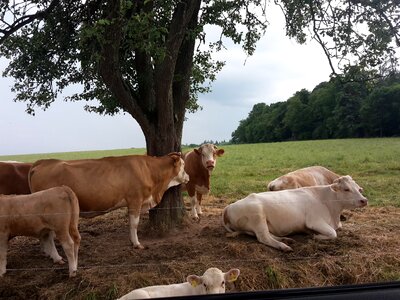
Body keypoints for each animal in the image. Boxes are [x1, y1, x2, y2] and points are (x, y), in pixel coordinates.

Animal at [29, 152, 189, 248]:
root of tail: (43, 162)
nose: (188, 176)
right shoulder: (135, 200)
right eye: (183, 165)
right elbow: (134, 224)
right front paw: (137, 244)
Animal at [223, 175, 368, 252]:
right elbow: (333, 233)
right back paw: (283, 246)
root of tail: (229, 206)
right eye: (346, 189)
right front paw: (315, 236)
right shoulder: (314, 221)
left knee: (267, 234)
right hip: (257, 215)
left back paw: (285, 239)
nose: (364, 200)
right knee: (263, 237)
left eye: (359, 189)